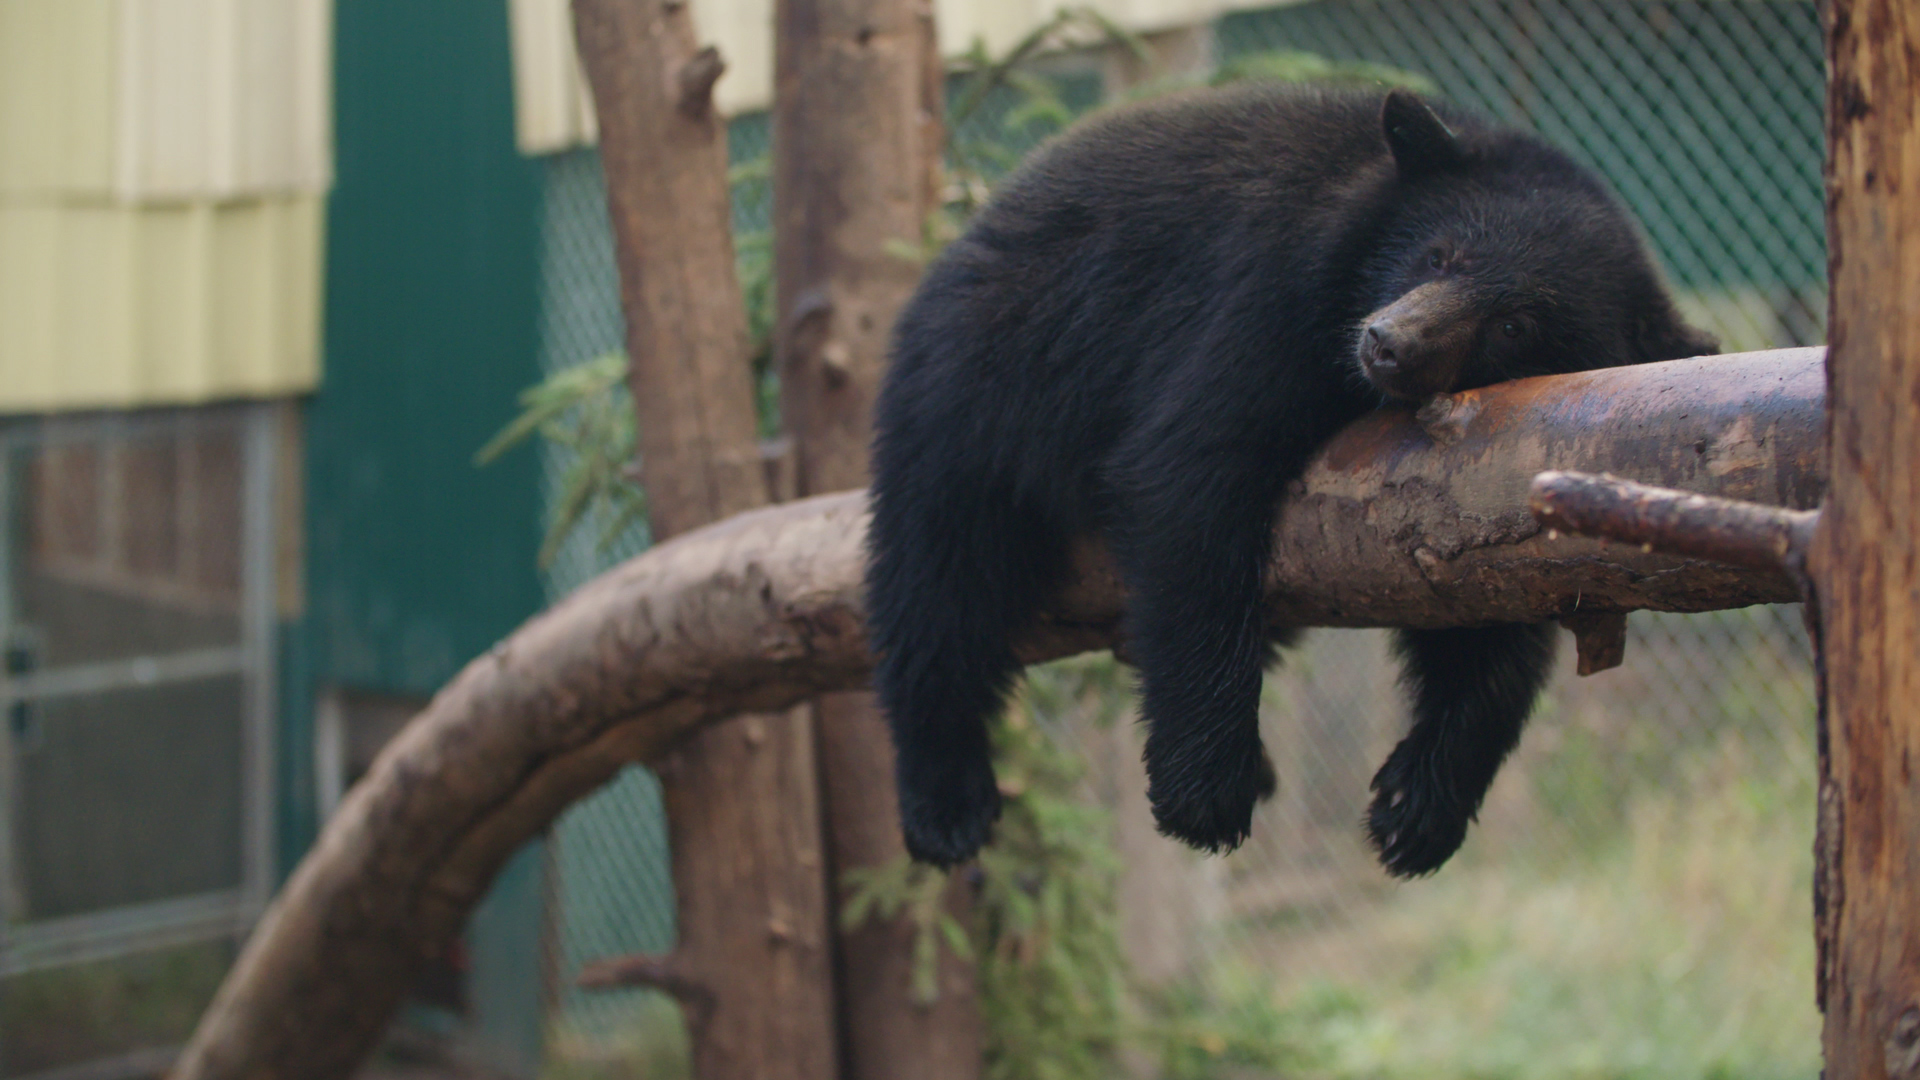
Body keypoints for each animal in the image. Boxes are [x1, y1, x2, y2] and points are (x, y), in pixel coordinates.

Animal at [864, 84, 1720, 876]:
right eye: (1440, 255)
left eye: (1514, 326)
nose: (1390, 342)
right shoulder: (1269, 297)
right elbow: (1188, 475)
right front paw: (1206, 795)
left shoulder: (1506, 460)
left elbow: (1488, 613)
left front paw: (1418, 806)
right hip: (974, 391)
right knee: (939, 580)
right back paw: (947, 803)